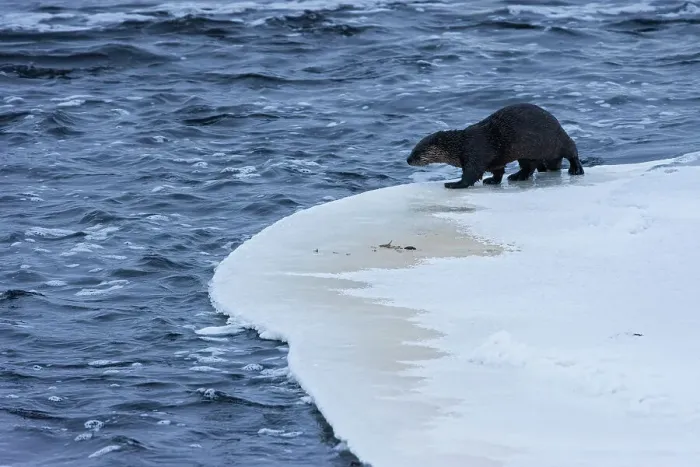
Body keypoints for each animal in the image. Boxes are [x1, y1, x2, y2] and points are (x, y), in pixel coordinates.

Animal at [406, 103, 584, 189]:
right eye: (412, 150)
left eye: (417, 151)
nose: (408, 160)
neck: (460, 145)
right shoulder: (494, 161)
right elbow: (498, 172)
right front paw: (492, 180)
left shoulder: (475, 154)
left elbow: (470, 175)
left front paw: (453, 184)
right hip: (527, 153)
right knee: (529, 166)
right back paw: (516, 176)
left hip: (554, 140)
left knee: (571, 149)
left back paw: (576, 169)